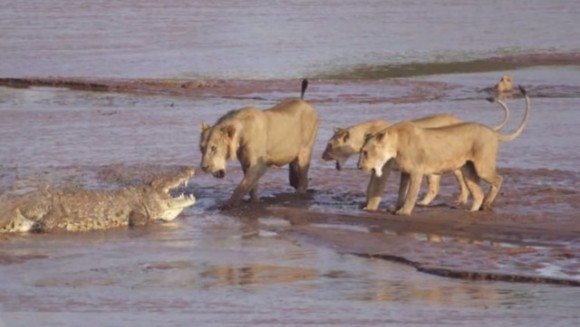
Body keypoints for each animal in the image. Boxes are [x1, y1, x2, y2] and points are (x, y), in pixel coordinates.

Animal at [198, 79, 318, 209]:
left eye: (213, 148)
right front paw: (255, 201)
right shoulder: (245, 163)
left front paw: (228, 204)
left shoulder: (259, 164)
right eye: (201, 148)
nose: (204, 167)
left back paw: (299, 195)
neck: (240, 134)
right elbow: (252, 186)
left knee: (303, 178)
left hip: (305, 150)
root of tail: (305, 102)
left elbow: (243, 185)